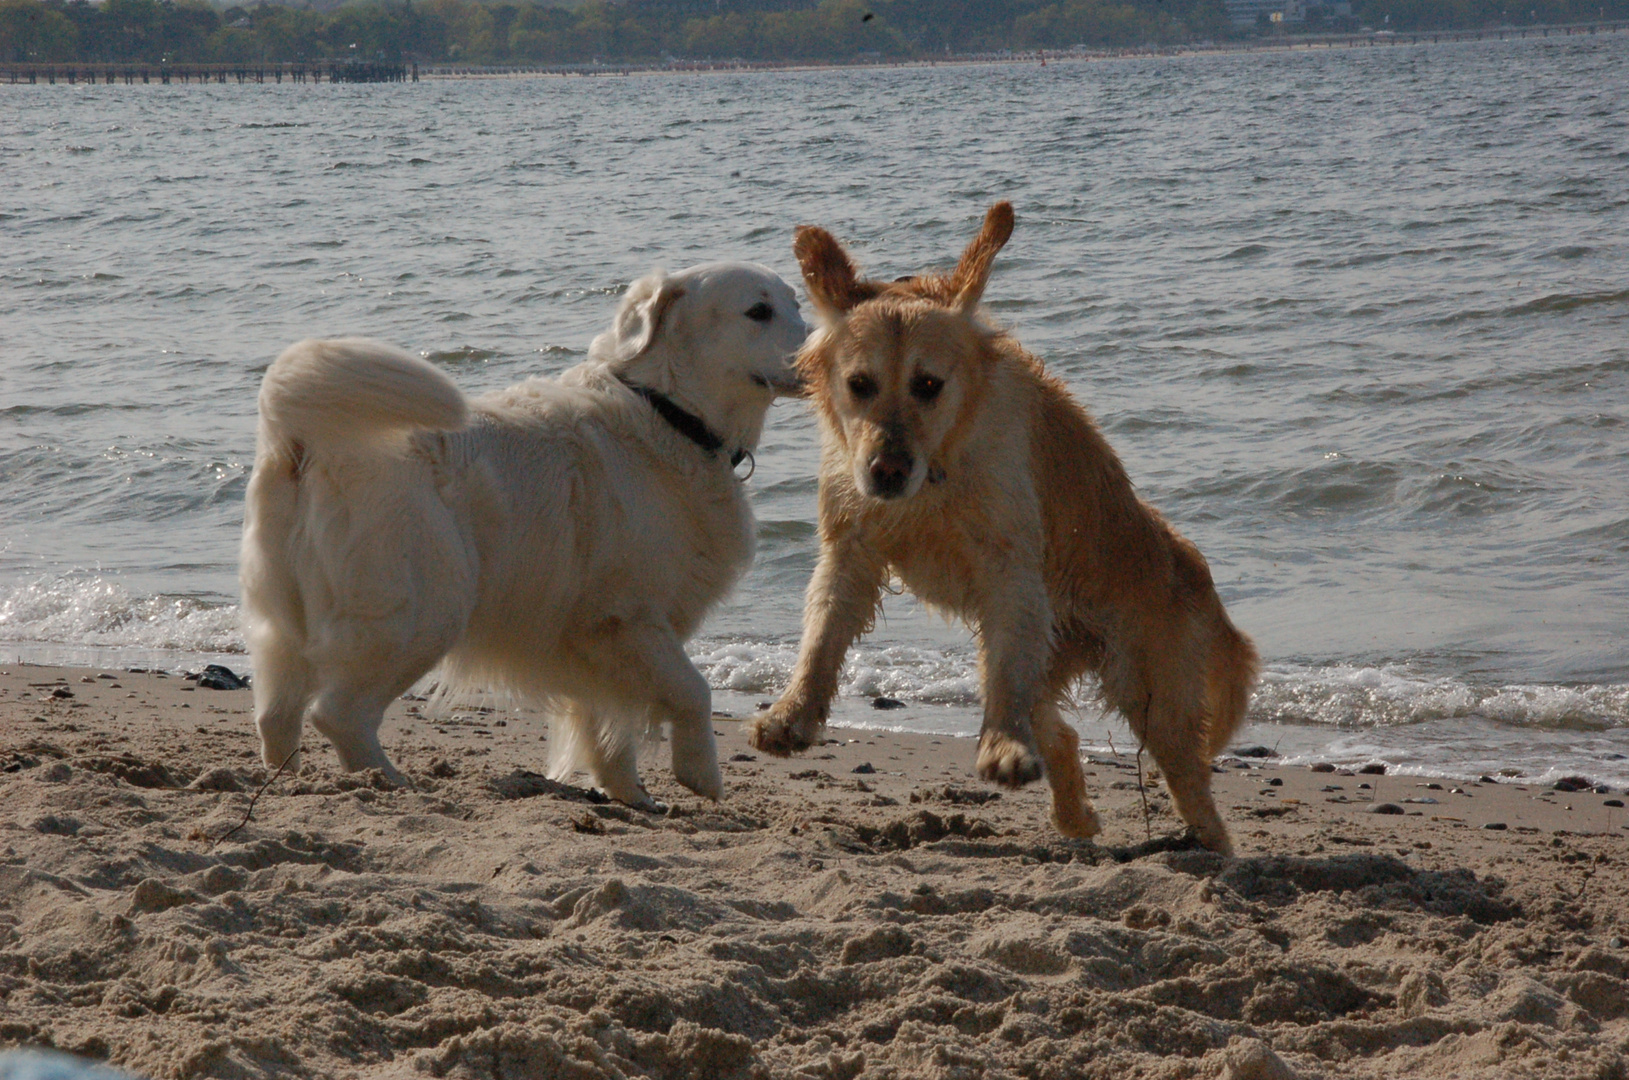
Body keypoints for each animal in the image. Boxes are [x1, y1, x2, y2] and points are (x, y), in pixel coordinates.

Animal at [237, 262, 804, 807]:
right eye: (758, 311)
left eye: (797, 304)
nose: (817, 349)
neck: (667, 411)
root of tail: (303, 443)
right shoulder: (626, 616)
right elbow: (693, 690)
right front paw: (699, 772)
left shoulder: (597, 643)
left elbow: (607, 728)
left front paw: (631, 794)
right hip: (425, 610)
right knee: (338, 713)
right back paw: (389, 780)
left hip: (288, 624)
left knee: (276, 713)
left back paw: (289, 779)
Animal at [749, 206, 1257, 860]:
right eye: (859, 384)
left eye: (929, 384)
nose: (886, 470)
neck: (937, 470)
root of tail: (1197, 573)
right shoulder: (849, 550)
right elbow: (820, 637)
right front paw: (790, 716)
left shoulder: (1009, 566)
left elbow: (1003, 671)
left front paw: (1003, 749)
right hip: (1047, 649)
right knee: (1057, 729)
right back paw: (1074, 816)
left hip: (1151, 686)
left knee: (1184, 775)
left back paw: (1204, 846)